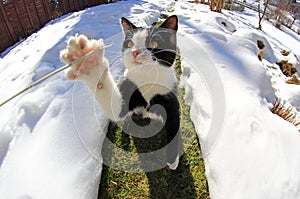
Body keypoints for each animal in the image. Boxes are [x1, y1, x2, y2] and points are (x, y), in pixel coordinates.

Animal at [59, 15, 179, 169]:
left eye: (154, 43)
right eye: (130, 43)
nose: (135, 52)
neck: (147, 77)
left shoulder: (170, 96)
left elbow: (174, 125)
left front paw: (173, 159)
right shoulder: (128, 86)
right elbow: (115, 110)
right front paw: (88, 62)